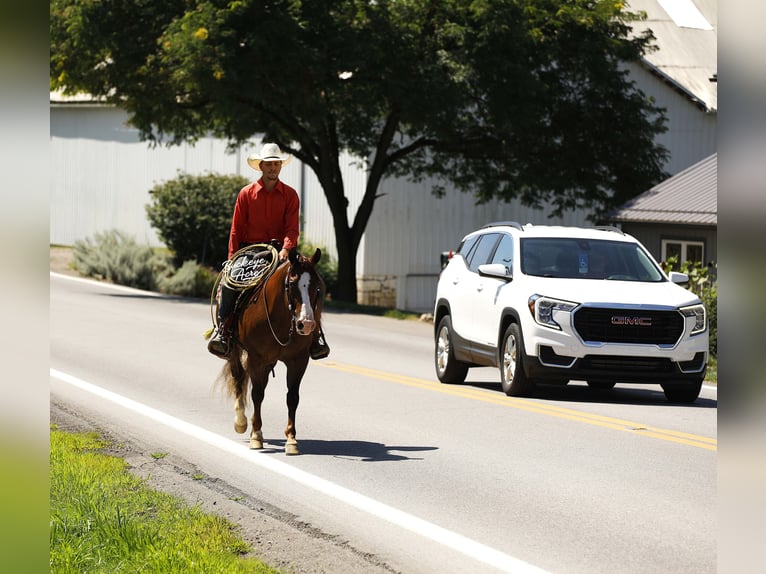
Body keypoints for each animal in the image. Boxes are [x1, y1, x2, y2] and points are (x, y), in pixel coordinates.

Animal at [220, 247, 325, 455]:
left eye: (317, 286)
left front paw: (291, 439)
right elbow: (257, 394)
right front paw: (256, 435)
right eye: (292, 284)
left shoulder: (298, 360)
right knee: (238, 379)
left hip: (270, 362)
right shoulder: (256, 359)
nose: (306, 324)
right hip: (236, 352)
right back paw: (241, 422)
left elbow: (292, 397)